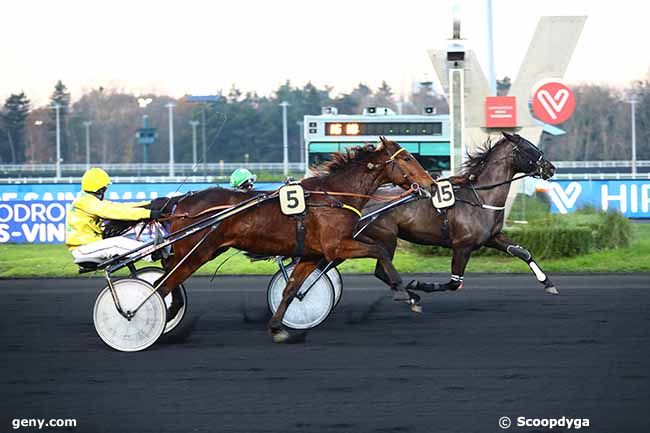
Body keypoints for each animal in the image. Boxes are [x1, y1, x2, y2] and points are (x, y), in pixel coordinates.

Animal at [154, 138, 430, 340]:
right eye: (407, 158)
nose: (430, 183)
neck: (335, 196)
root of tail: (180, 203)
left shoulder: (311, 254)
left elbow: (291, 290)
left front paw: (278, 327)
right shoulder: (336, 246)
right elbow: (380, 251)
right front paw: (403, 292)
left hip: (197, 252)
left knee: (164, 279)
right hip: (196, 253)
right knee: (164, 284)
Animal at [354, 132, 556, 296]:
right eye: (528, 148)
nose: (550, 168)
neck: (481, 198)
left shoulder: (492, 237)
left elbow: (523, 253)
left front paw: (548, 283)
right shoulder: (462, 246)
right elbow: (454, 283)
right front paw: (419, 284)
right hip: (387, 237)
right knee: (381, 270)